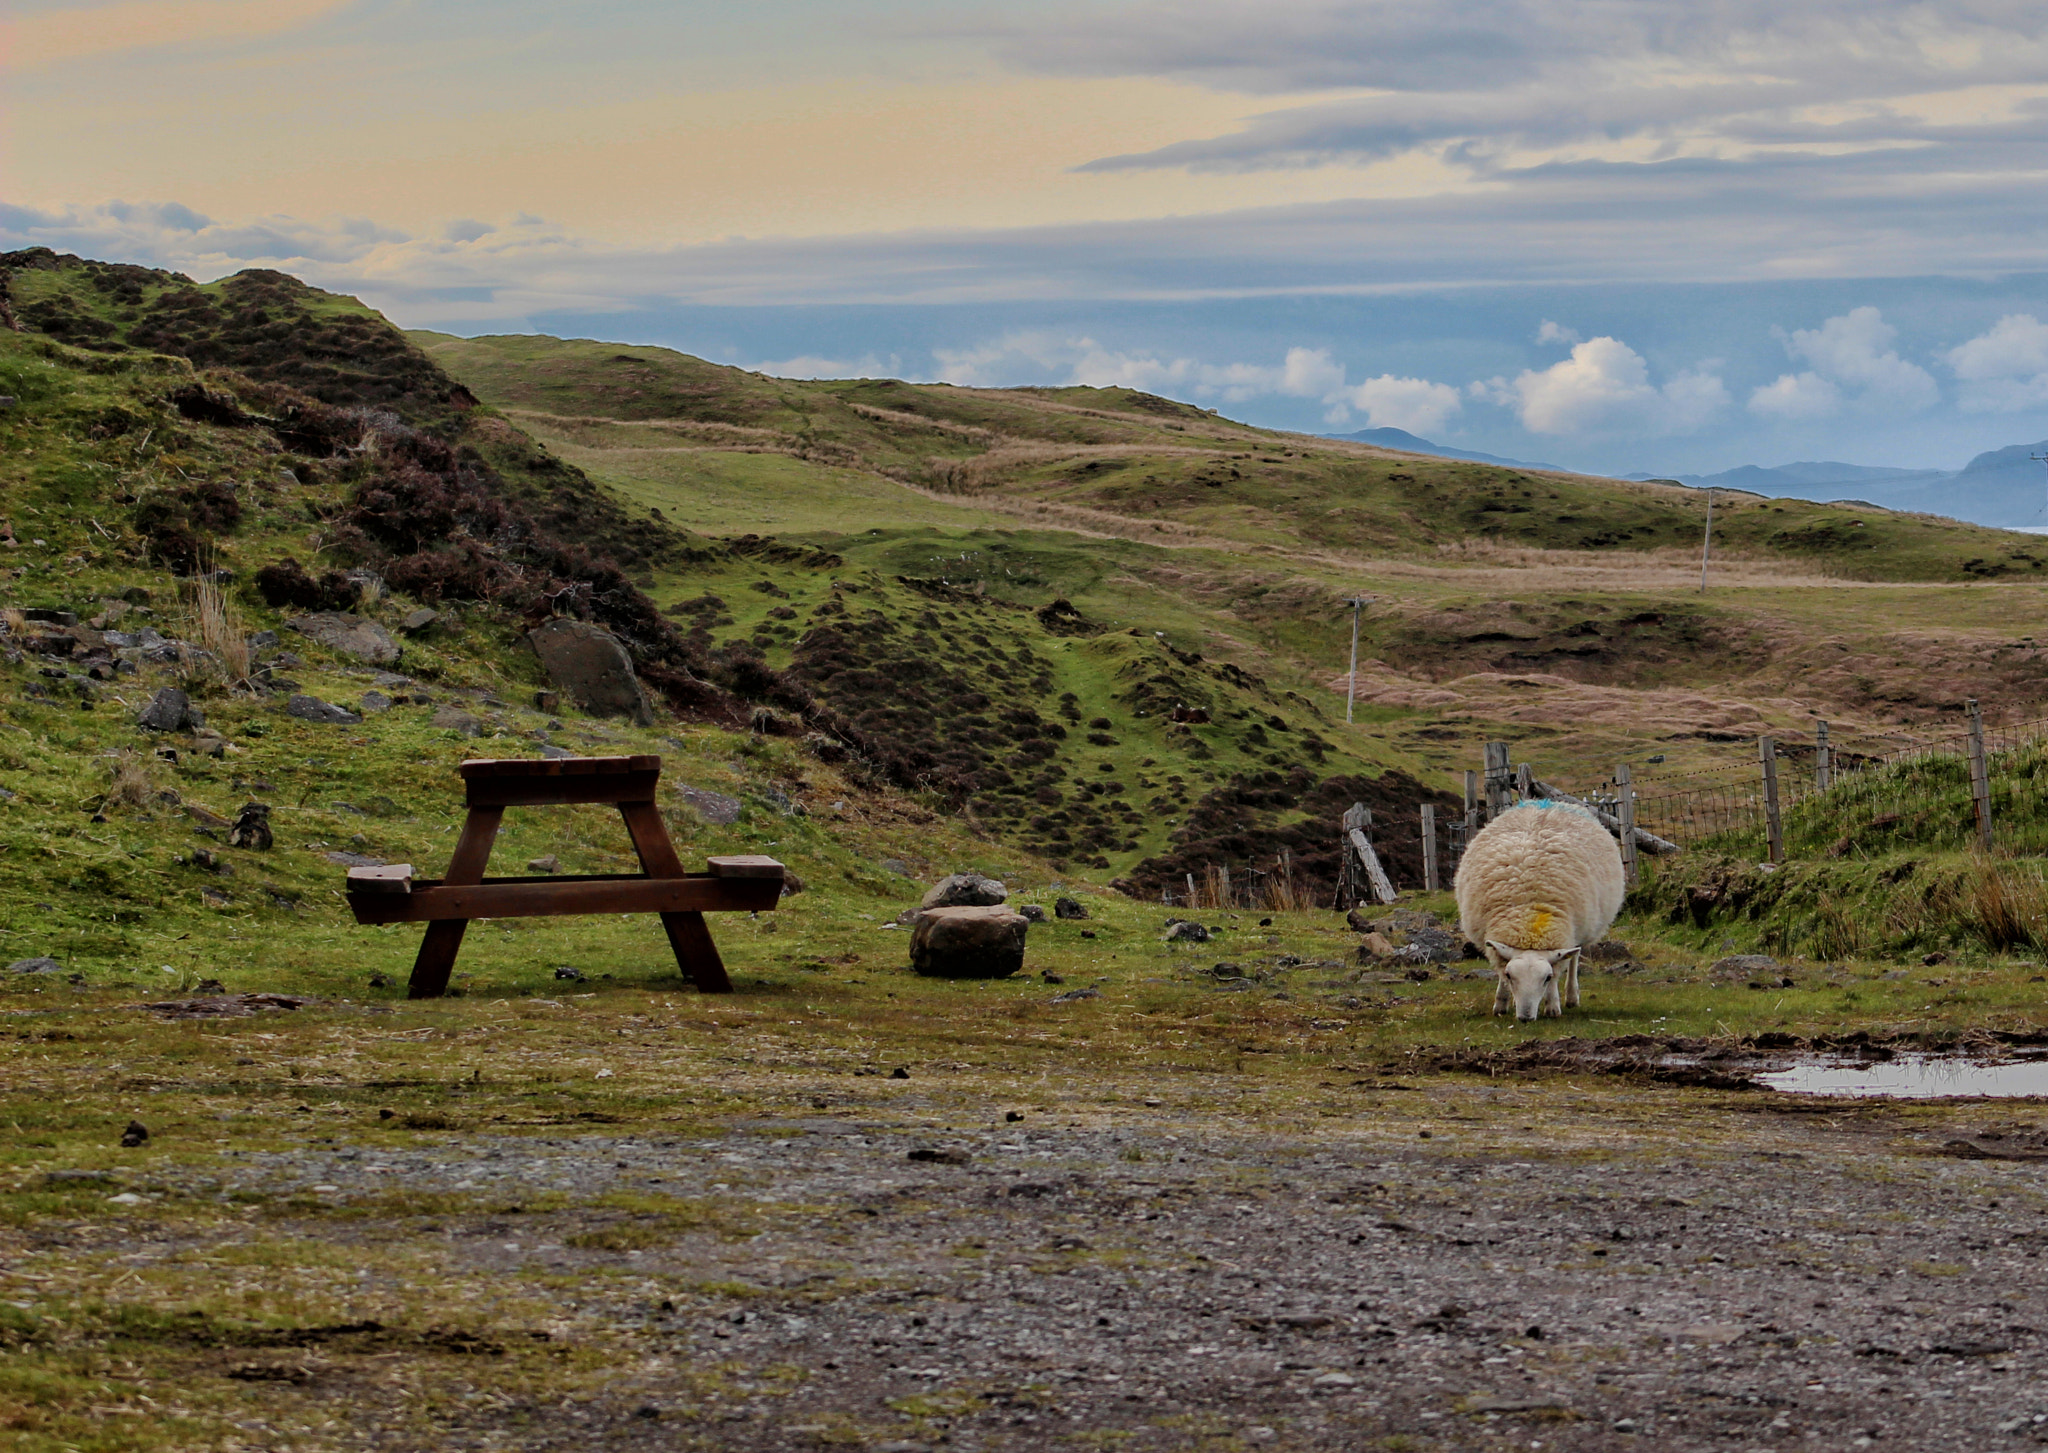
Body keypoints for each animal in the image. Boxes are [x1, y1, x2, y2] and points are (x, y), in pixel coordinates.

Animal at [1449, 803, 1622, 1020]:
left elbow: (1558, 971)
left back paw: (1572, 997)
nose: (1525, 1017)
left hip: (1582, 927)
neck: (1530, 917)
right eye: (1510, 975)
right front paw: (1501, 1003)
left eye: (1546, 977)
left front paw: (1553, 1006)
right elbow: (1500, 970)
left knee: (1574, 958)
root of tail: (1550, 802)